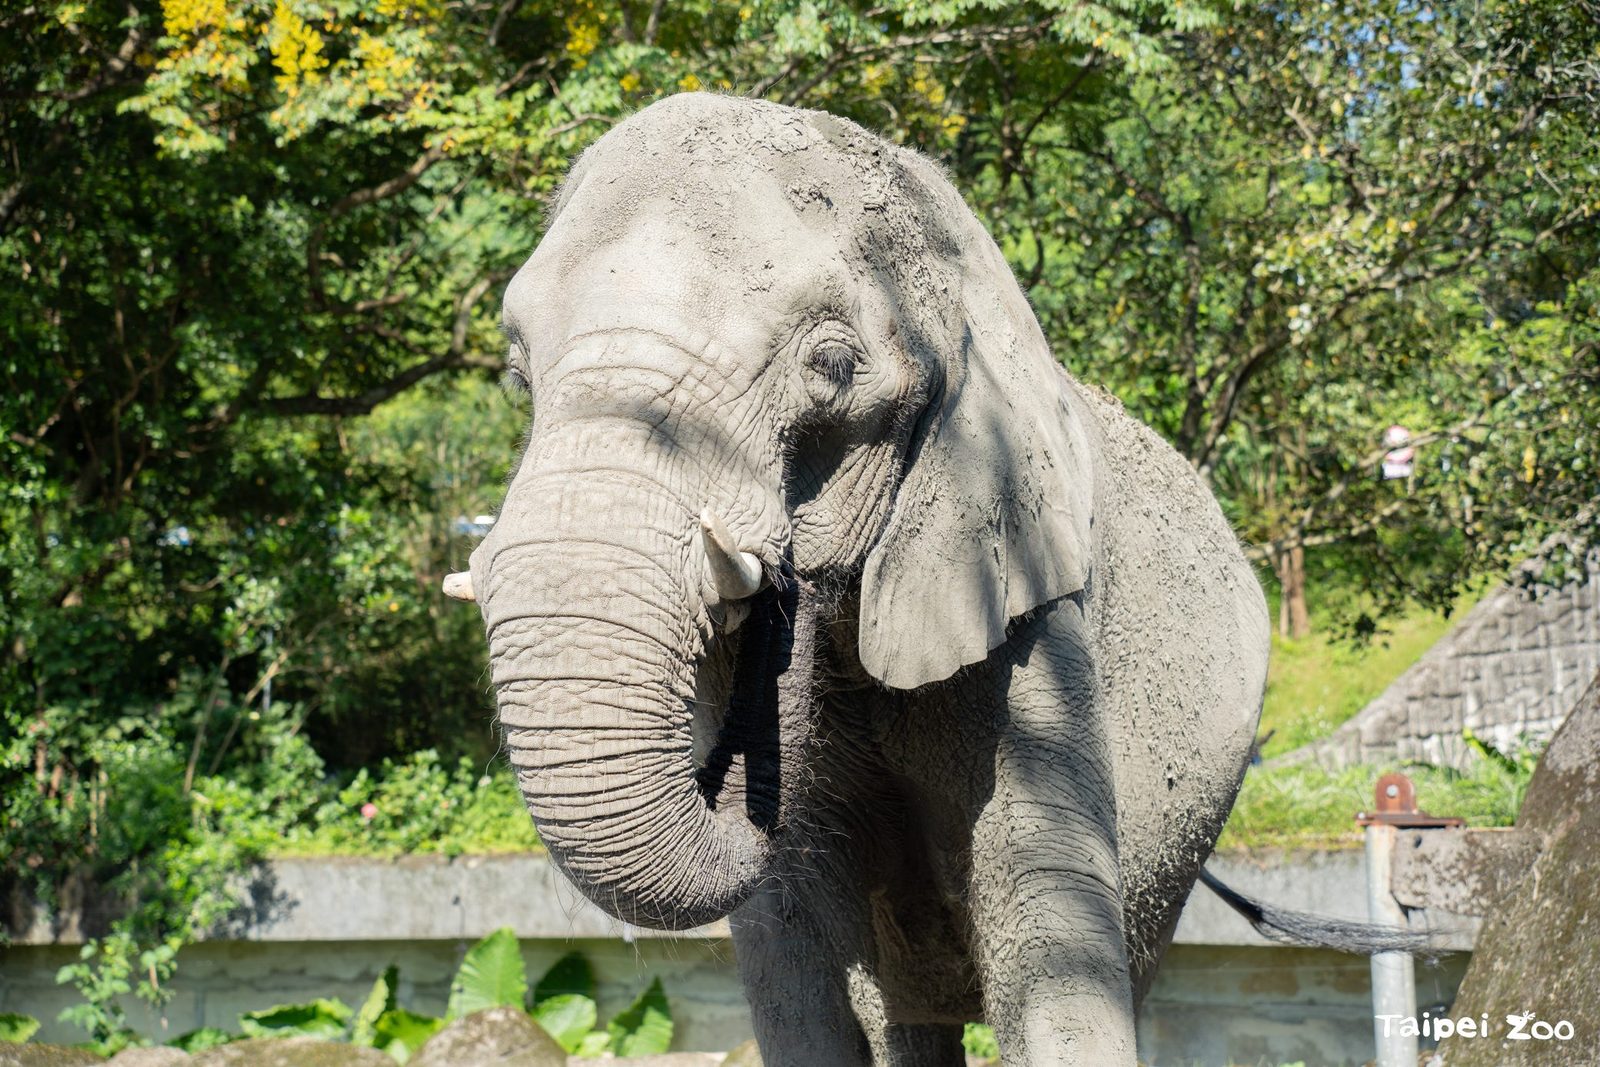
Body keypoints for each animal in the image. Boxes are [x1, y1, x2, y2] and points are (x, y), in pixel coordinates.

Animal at [448, 93, 1277, 1065]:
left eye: (834, 368)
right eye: (517, 373)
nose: (777, 584)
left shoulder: (1032, 604)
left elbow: (1053, 943)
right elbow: (789, 942)